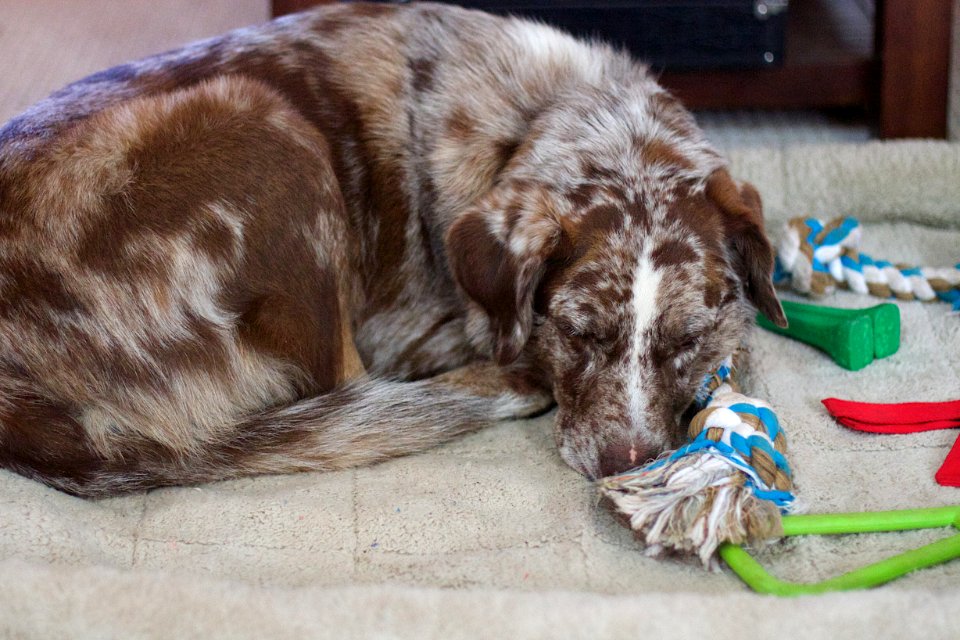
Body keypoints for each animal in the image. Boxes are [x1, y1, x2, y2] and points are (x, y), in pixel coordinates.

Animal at [0, 1, 788, 500]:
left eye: (684, 339)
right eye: (577, 332)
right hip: (266, 127)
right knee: (347, 388)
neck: (544, 116)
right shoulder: (409, 333)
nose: (626, 466)